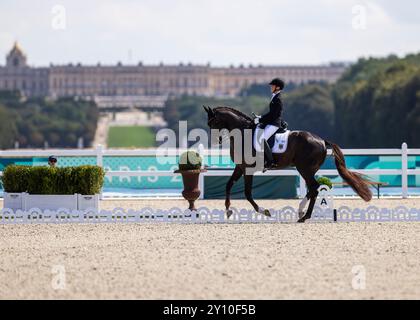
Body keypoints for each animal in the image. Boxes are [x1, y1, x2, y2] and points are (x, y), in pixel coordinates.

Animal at [203, 106, 370, 221]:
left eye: (213, 122)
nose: (214, 142)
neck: (243, 134)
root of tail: (322, 140)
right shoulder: (240, 167)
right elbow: (228, 185)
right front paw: (228, 210)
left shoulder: (248, 169)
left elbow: (248, 193)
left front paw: (264, 211)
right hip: (308, 170)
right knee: (312, 189)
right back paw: (301, 212)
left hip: (304, 169)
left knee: (314, 188)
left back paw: (304, 216)